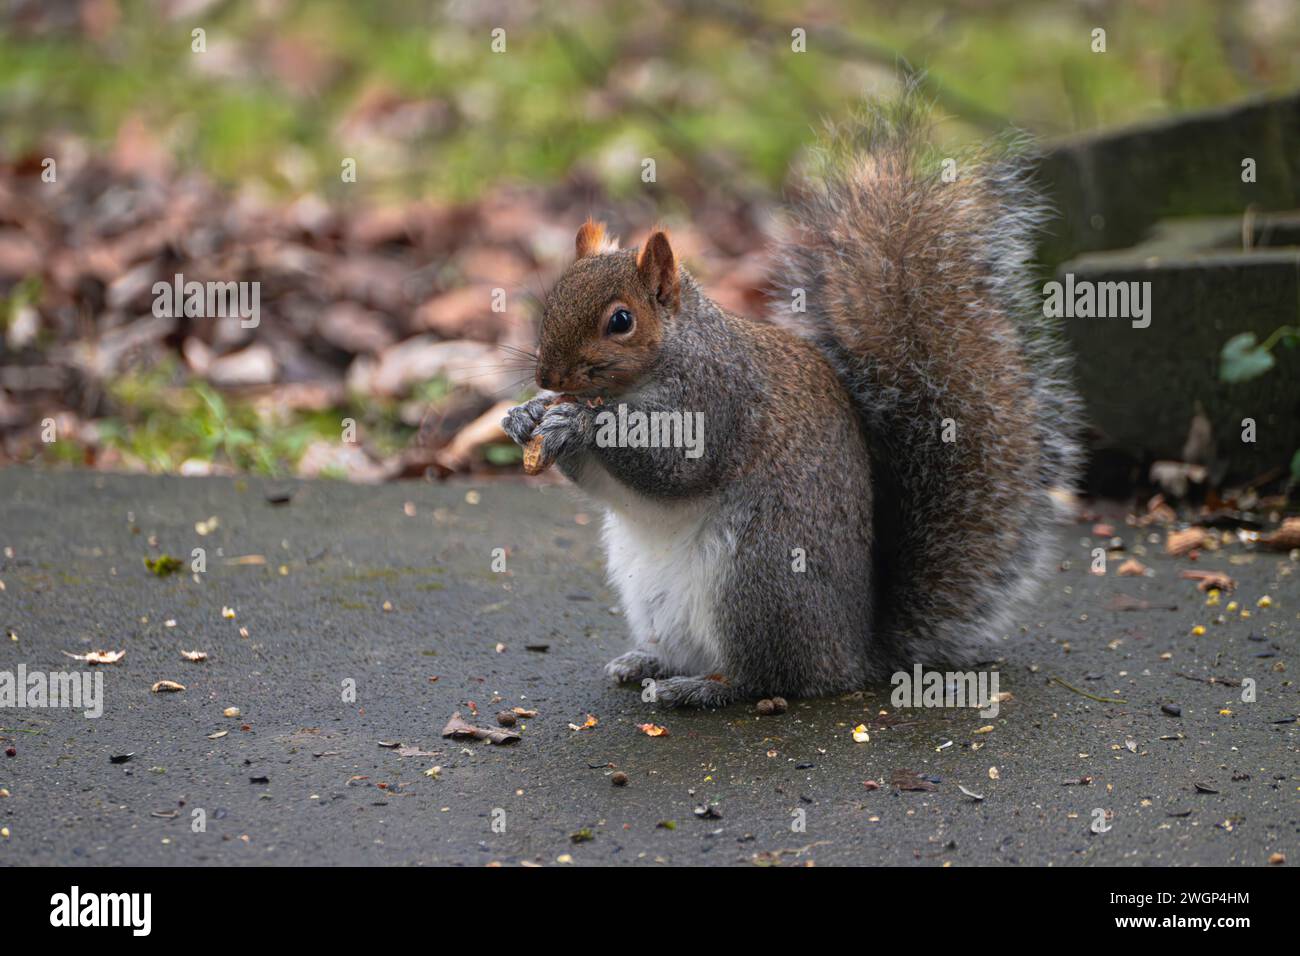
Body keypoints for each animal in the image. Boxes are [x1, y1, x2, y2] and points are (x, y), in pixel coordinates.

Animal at [501, 95, 1081, 712]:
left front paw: (581, 422)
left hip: (758, 576)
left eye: (621, 321)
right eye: (551, 301)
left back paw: (698, 689)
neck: (649, 373)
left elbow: (675, 466)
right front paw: (527, 415)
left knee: (766, 676)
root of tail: (852, 654)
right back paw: (647, 662)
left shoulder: (720, 400)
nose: (546, 375)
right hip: (656, 597)